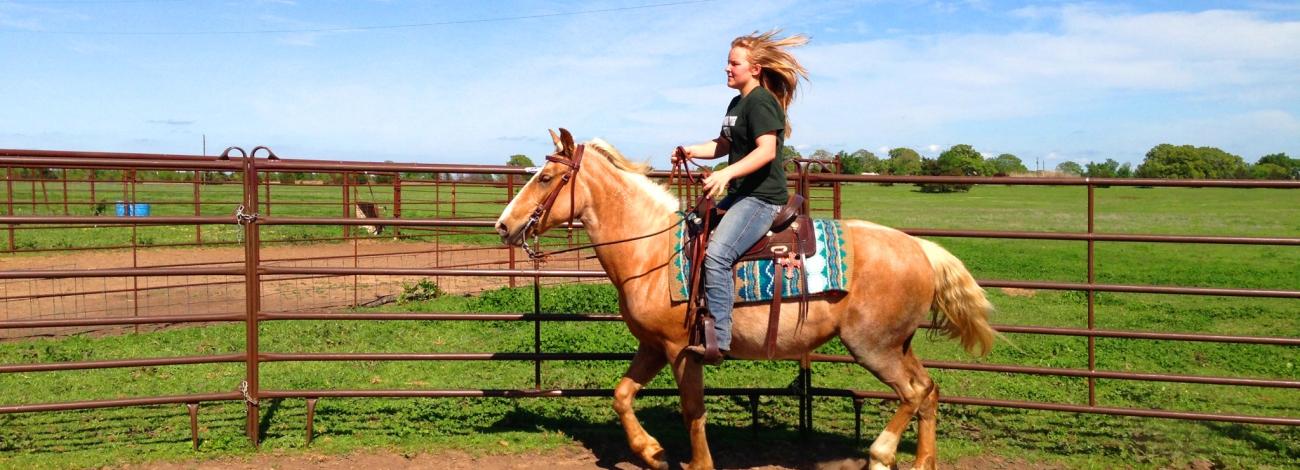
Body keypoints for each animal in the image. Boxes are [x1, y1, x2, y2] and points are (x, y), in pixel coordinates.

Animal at [496, 129, 993, 470]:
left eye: (546, 178)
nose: (503, 225)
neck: (652, 252)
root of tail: (921, 248)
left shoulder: (682, 349)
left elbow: (692, 411)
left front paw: (697, 463)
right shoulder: (653, 346)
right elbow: (621, 395)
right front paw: (653, 452)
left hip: (872, 346)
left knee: (913, 393)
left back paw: (880, 454)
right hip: (897, 344)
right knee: (929, 389)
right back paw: (921, 462)